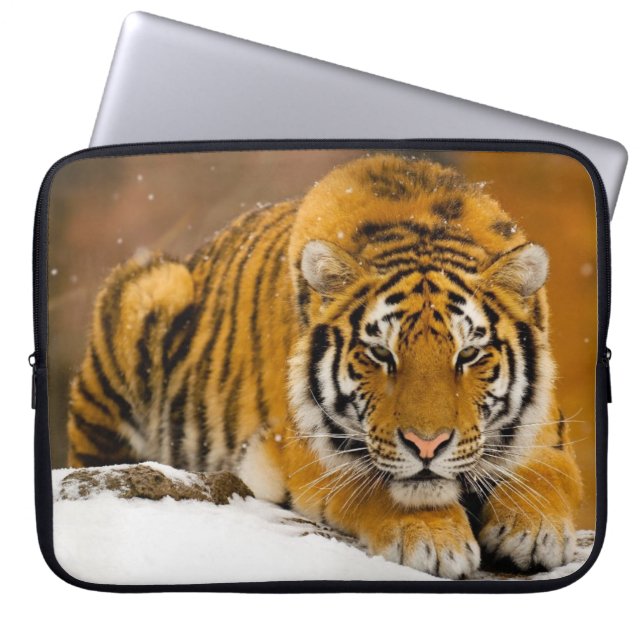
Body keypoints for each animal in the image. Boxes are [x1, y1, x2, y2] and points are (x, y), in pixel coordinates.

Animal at [67, 153, 582, 579]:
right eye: (381, 354)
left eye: (468, 354)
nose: (427, 445)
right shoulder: (307, 450)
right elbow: (375, 484)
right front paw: (434, 540)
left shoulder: (545, 430)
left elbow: (548, 473)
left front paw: (533, 530)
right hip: (148, 291)